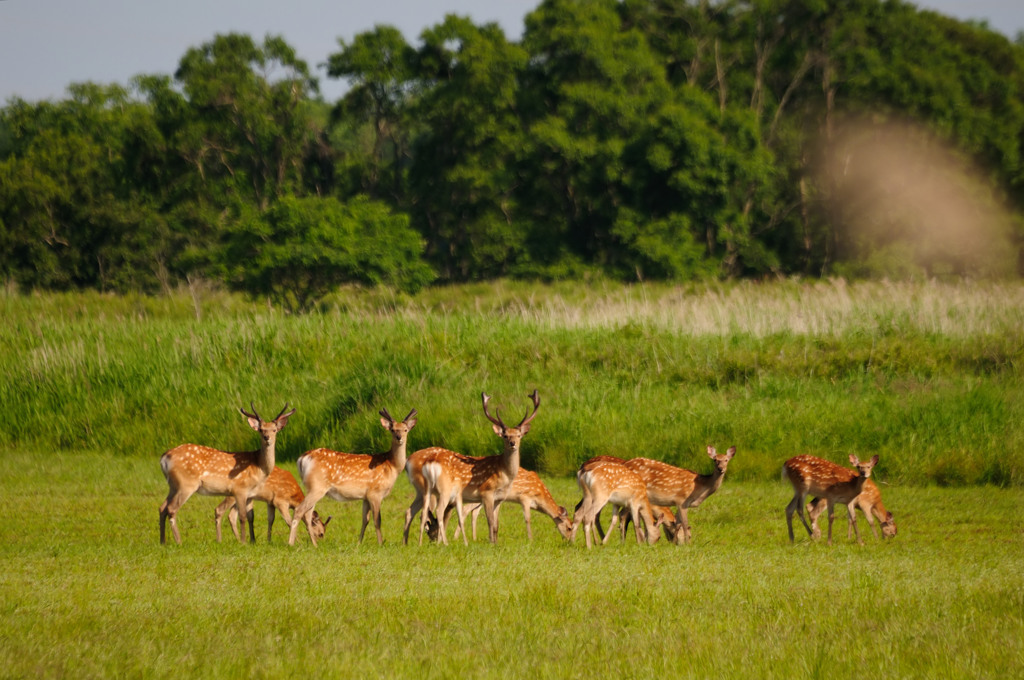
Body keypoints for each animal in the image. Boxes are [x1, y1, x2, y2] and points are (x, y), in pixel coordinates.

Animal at [158, 401, 296, 544]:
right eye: (261, 429)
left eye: (274, 430)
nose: (267, 437)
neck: (258, 466)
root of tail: (164, 457)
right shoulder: (240, 489)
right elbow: (242, 516)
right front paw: (243, 542)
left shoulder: (249, 493)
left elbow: (250, 516)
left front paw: (252, 541)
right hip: (186, 484)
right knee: (172, 509)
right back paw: (179, 541)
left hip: (173, 485)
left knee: (162, 508)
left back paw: (163, 541)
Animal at [286, 405, 417, 544]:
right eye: (392, 430)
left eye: (405, 429)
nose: (399, 437)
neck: (391, 466)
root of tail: (302, 458)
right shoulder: (375, 492)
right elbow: (377, 520)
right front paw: (381, 544)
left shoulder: (366, 496)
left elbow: (365, 520)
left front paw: (359, 543)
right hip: (317, 486)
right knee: (300, 510)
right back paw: (291, 543)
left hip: (312, 488)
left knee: (308, 513)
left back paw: (314, 544)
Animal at [403, 387, 540, 548]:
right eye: (505, 435)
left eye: (519, 435)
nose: (513, 443)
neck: (504, 474)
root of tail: (408, 461)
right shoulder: (486, 493)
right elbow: (490, 521)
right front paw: (491, 543)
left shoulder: (500, 498)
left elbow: (497, 524)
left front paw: (495, 542)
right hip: (439, 489)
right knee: (435, 511)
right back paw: (442, 543)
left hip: (421, 490)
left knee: (410, 511)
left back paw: (406, 542)